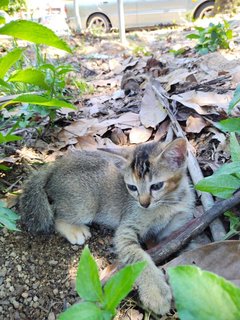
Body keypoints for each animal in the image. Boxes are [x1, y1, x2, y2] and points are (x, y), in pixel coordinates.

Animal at [18, 138, 195, 316]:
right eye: (132, 187)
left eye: (157, 186)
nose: (143, 204)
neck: (168, 203)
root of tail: (58, 164)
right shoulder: (126, 228)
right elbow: (139, 257)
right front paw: (155, 291)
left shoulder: (178, 224)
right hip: (86, 205)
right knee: (55, 215)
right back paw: (75, 230)